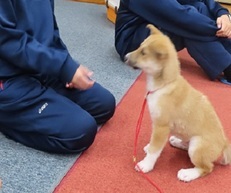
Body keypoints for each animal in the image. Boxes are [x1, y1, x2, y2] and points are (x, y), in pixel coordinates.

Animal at [124, 24, 231, 182]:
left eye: (143, 53)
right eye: (139, 47)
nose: (125, 57)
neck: (165, 84)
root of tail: (224, 143)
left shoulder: (161, 127)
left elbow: (155, 149)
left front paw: (146, 165)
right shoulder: (156, 125)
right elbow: (153, 143)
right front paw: (149, 148)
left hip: (197, 146)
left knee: (206, 168)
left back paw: (188, 173)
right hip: (190, 140)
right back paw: (177, 142)